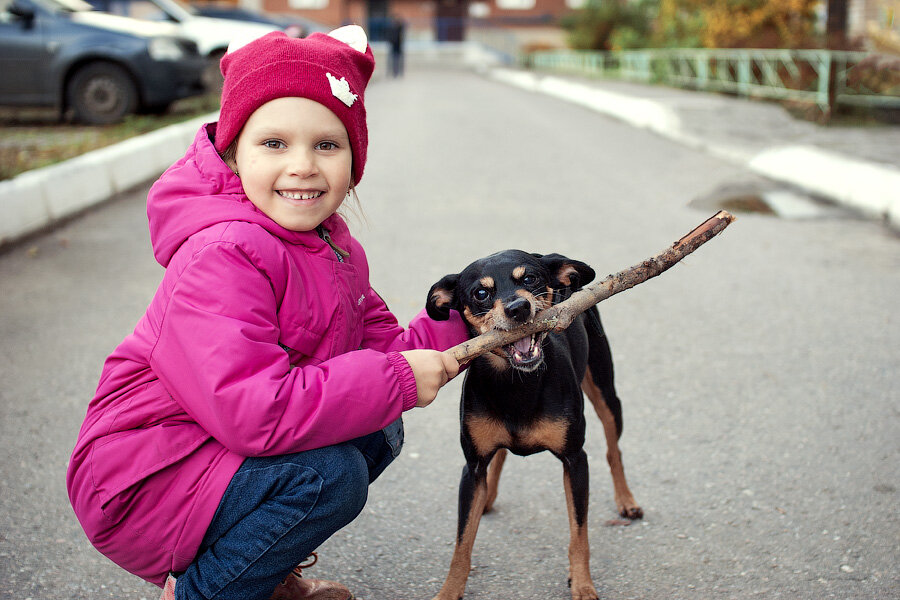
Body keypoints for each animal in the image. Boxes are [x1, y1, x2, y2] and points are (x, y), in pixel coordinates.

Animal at [428, 248, 644, 600]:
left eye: (529, 278)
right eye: (480, 293)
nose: (518, 308)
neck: (516, 383)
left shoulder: (575, 460)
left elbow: (579, 534)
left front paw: (582, 584)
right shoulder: (472, 467)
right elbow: (462, 545)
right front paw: (449, 591)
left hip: (605, 390)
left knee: (614, 450)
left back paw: (626, 501)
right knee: (501, 455)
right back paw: (488, 498)